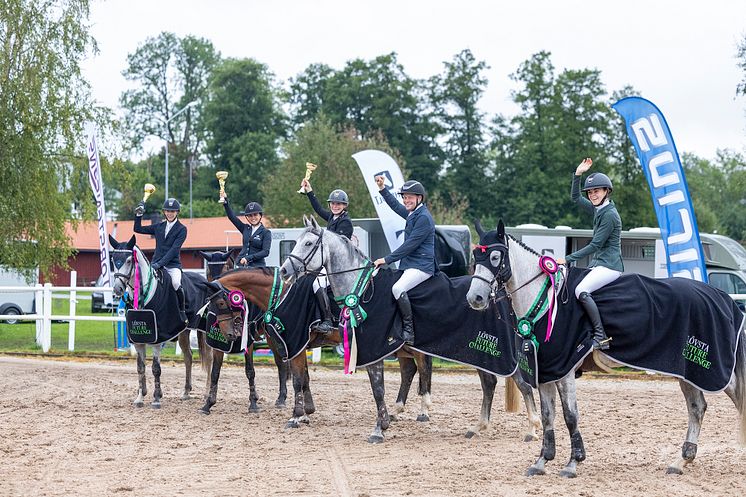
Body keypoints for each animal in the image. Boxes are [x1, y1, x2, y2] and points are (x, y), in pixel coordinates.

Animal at [107, 234, 209, 408]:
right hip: (184, 332)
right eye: (114, 260)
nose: (117, 289)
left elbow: (156, 368)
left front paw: (155, 398)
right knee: (188, 357)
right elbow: (140, 367)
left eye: (129, 260)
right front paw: (140, 397)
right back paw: (186, 392)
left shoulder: (157, 339)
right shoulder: (138, 339)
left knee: (210, 359)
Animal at [196, 250, 290, 412]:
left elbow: (250, 371)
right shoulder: (219, 342)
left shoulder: (248, 341)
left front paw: (253, 403)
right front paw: (208, 404)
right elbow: (215, 372)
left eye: (226, 267)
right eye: (208, 270)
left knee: (281, 363)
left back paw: (281, 399)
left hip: (272, 337)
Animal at [276, 217, 536, 442]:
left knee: (520, 384)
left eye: (308, 243)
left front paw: (378, 429)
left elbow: (377, 389)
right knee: (491, 383)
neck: (361, 289)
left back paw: (532, 428)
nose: (284, 270)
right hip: (478, 353)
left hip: (495, 352)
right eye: (297, 241)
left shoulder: (372, 348)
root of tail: (497, 292)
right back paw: (480, 427)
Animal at [464, 221, 744, 476]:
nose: (474, 299)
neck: (544, 297)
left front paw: (572, 464)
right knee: (697, 408)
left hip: (712, 370)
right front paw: (542, 462)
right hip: (686, 369)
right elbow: (547, 415)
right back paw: (680, 462)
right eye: (476, 258)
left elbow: (570, 416)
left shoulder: (564, 370)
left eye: (495, 257)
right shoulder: (546, 370)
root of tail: (722, 297)